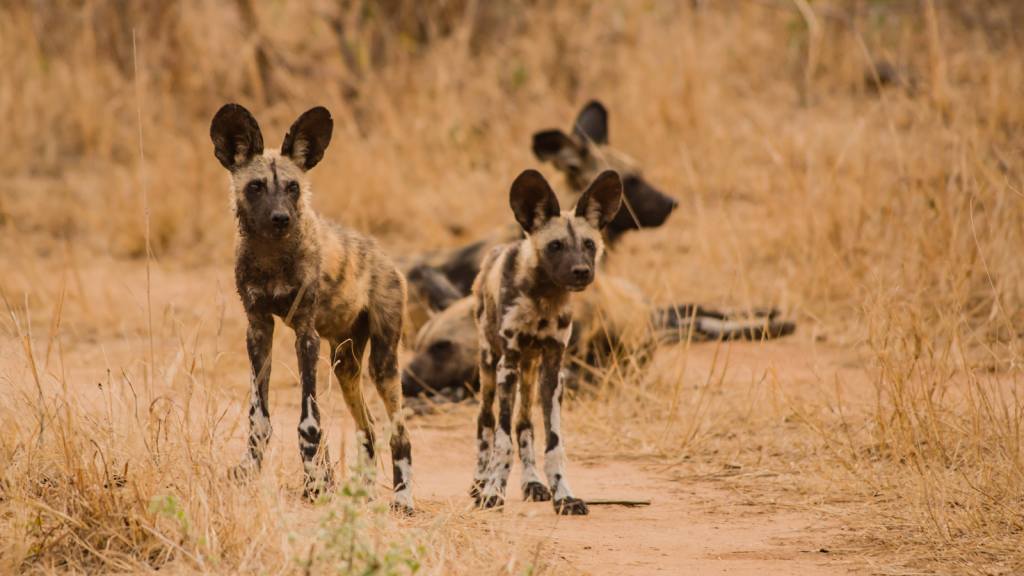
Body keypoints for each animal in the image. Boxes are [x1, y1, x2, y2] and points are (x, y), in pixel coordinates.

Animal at [471, 168, 622, 512]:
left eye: (589, 244)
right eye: (555, 246)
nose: (581, 271)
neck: (544, 297)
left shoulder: (552, 369)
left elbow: (553, 443)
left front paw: (563, 495)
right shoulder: (507, 365)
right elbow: (501, 440)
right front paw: (493, 492)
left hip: (533, 373)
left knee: (524, 425)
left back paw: (533, 483)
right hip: (491, 369)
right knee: (486, 424)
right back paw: (480, 481)